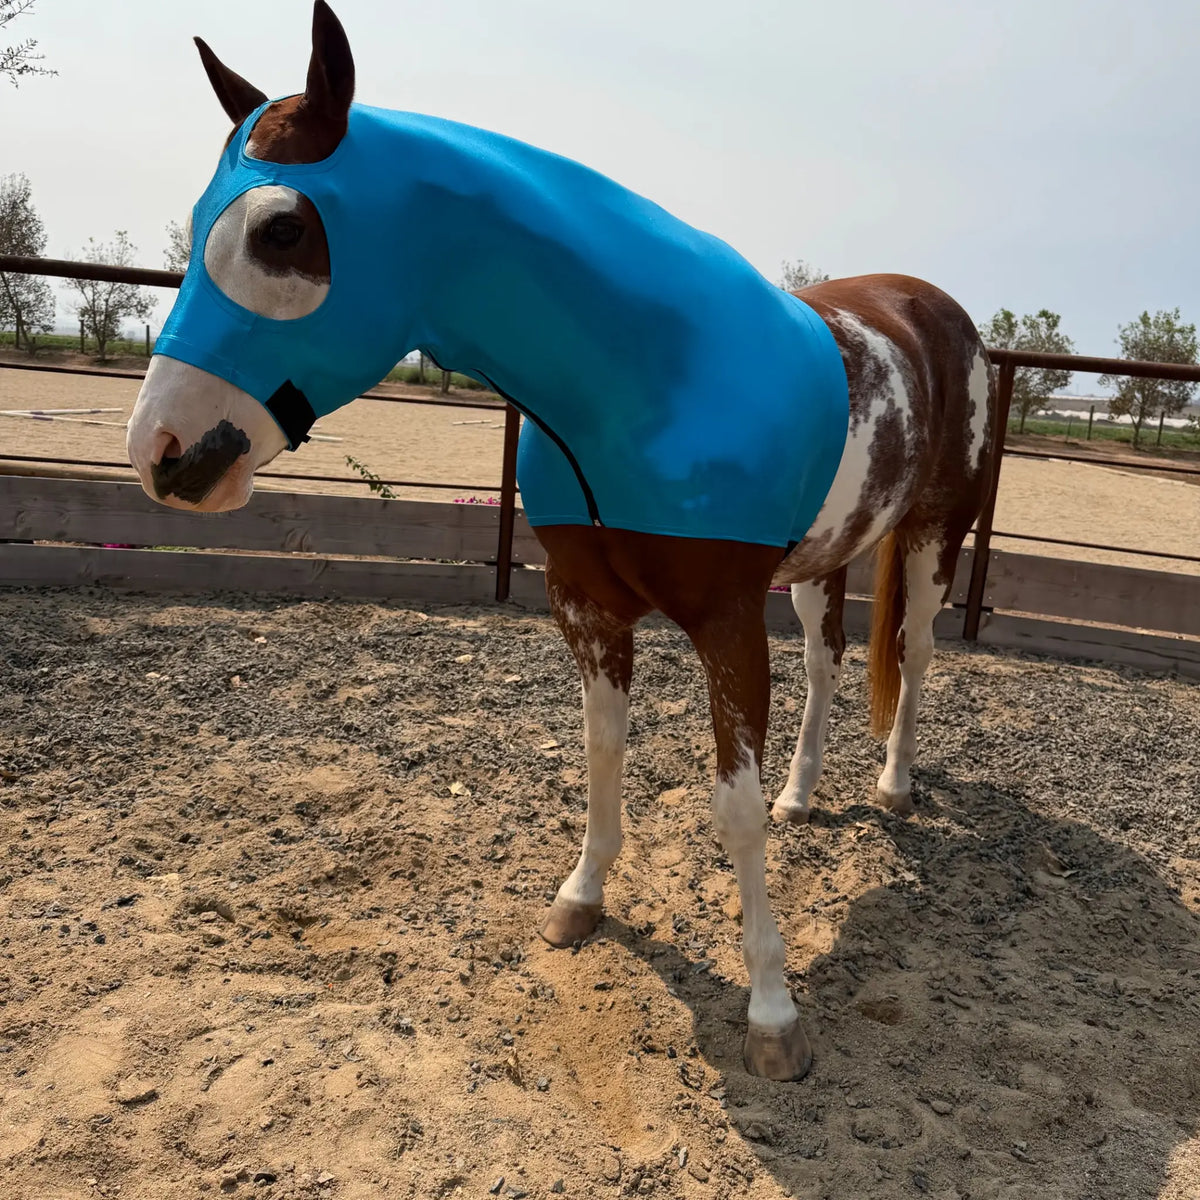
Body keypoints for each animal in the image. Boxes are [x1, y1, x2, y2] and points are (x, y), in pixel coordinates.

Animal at [125, 1, 997, 1082]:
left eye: (282, 229)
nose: (162, 453)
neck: (649, 373)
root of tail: (936, 311)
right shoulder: (587, 607)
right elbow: (602, 752)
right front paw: (581, 901)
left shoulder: (724, 622)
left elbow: (732, 809)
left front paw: (772, 1014)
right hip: (822, 559)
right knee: (830, 659)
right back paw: (806, 794)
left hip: (929, 538)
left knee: (912, 654)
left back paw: (894, 785)